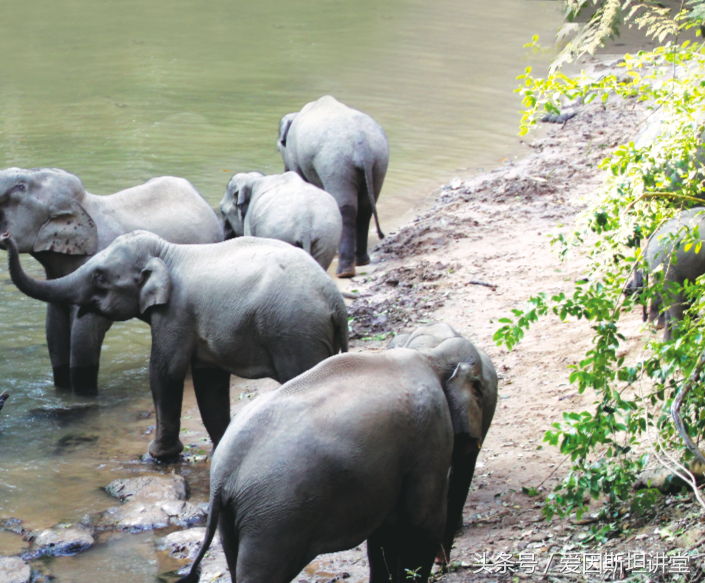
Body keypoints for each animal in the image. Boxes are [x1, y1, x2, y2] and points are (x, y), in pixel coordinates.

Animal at [0, 169, 221, 396]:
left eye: (19, 187)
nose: (5, 236)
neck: (85, 203)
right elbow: (54, 333)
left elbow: (83, 339)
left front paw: (83, 398)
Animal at [2, 229, 350, 460]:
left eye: (100, 277)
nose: (5, 237)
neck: (168, 252)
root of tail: (336, 301)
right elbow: (209, 382)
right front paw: (220, 448)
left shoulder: (176, 314)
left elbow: (165, 372)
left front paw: (157, 456)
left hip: (295, 333)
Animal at [278, 94, 388, 280]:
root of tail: (363, 149)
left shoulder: (294, 154)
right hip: (379, 163)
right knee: (365, 208)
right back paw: (362, 262)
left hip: (336, 164)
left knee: (346, 209)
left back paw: (344, 272)